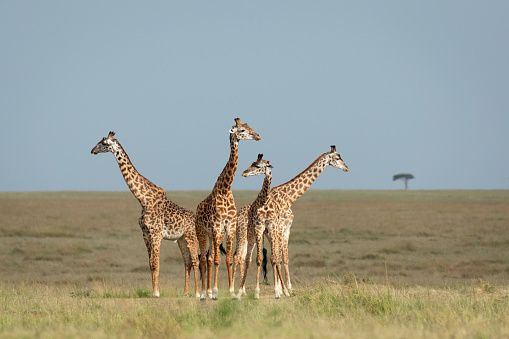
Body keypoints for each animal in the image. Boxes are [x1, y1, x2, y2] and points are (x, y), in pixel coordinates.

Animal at [90, 131, 201, 298]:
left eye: (103, 143)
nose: (92, 150)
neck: (143, 199)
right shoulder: (145, 235)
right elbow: (150, 264)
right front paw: (154, 291)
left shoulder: (156, 234)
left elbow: (156, 263)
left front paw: (156, 293)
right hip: (181, 239)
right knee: (187, 262)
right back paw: (185, 293)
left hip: (191, 236)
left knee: (196, 261)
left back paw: (198, 294)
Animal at [195, 117, 262, 300]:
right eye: (242, 130)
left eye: (249, 126)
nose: (258, 136)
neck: (225, 189)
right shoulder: (217, 227)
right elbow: (218, 260)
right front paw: (216, 291)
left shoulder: (230, 228)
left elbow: (229, 260)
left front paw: (232, 291)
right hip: (203, 233)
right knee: (204, 258)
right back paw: (204, 293)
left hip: (213, 236)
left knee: (210, 257)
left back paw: (208, 291)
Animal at [233, 154, 288, 300]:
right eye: (252, 163)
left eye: (258, 166)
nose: (244, 173)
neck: (265, 200)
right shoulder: (258, 228)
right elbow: (258, 259)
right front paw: (257, 292)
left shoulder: (272, 228)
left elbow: (274, 259)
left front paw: (278, 292)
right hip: (250, 235)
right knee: (247, 259)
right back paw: (239, 292)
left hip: (268, 235)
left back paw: (285, 290)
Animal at [268, 145, 348, 294]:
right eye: (337, 158)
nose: (346, 168)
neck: (289, 198)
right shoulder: (283, 227)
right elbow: (282, 257)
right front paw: (287, 288)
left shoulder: (285, 229)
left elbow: (284, 257)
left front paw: (285, 287)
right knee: (272, 257)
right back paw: (278, 289)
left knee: (270, 257)